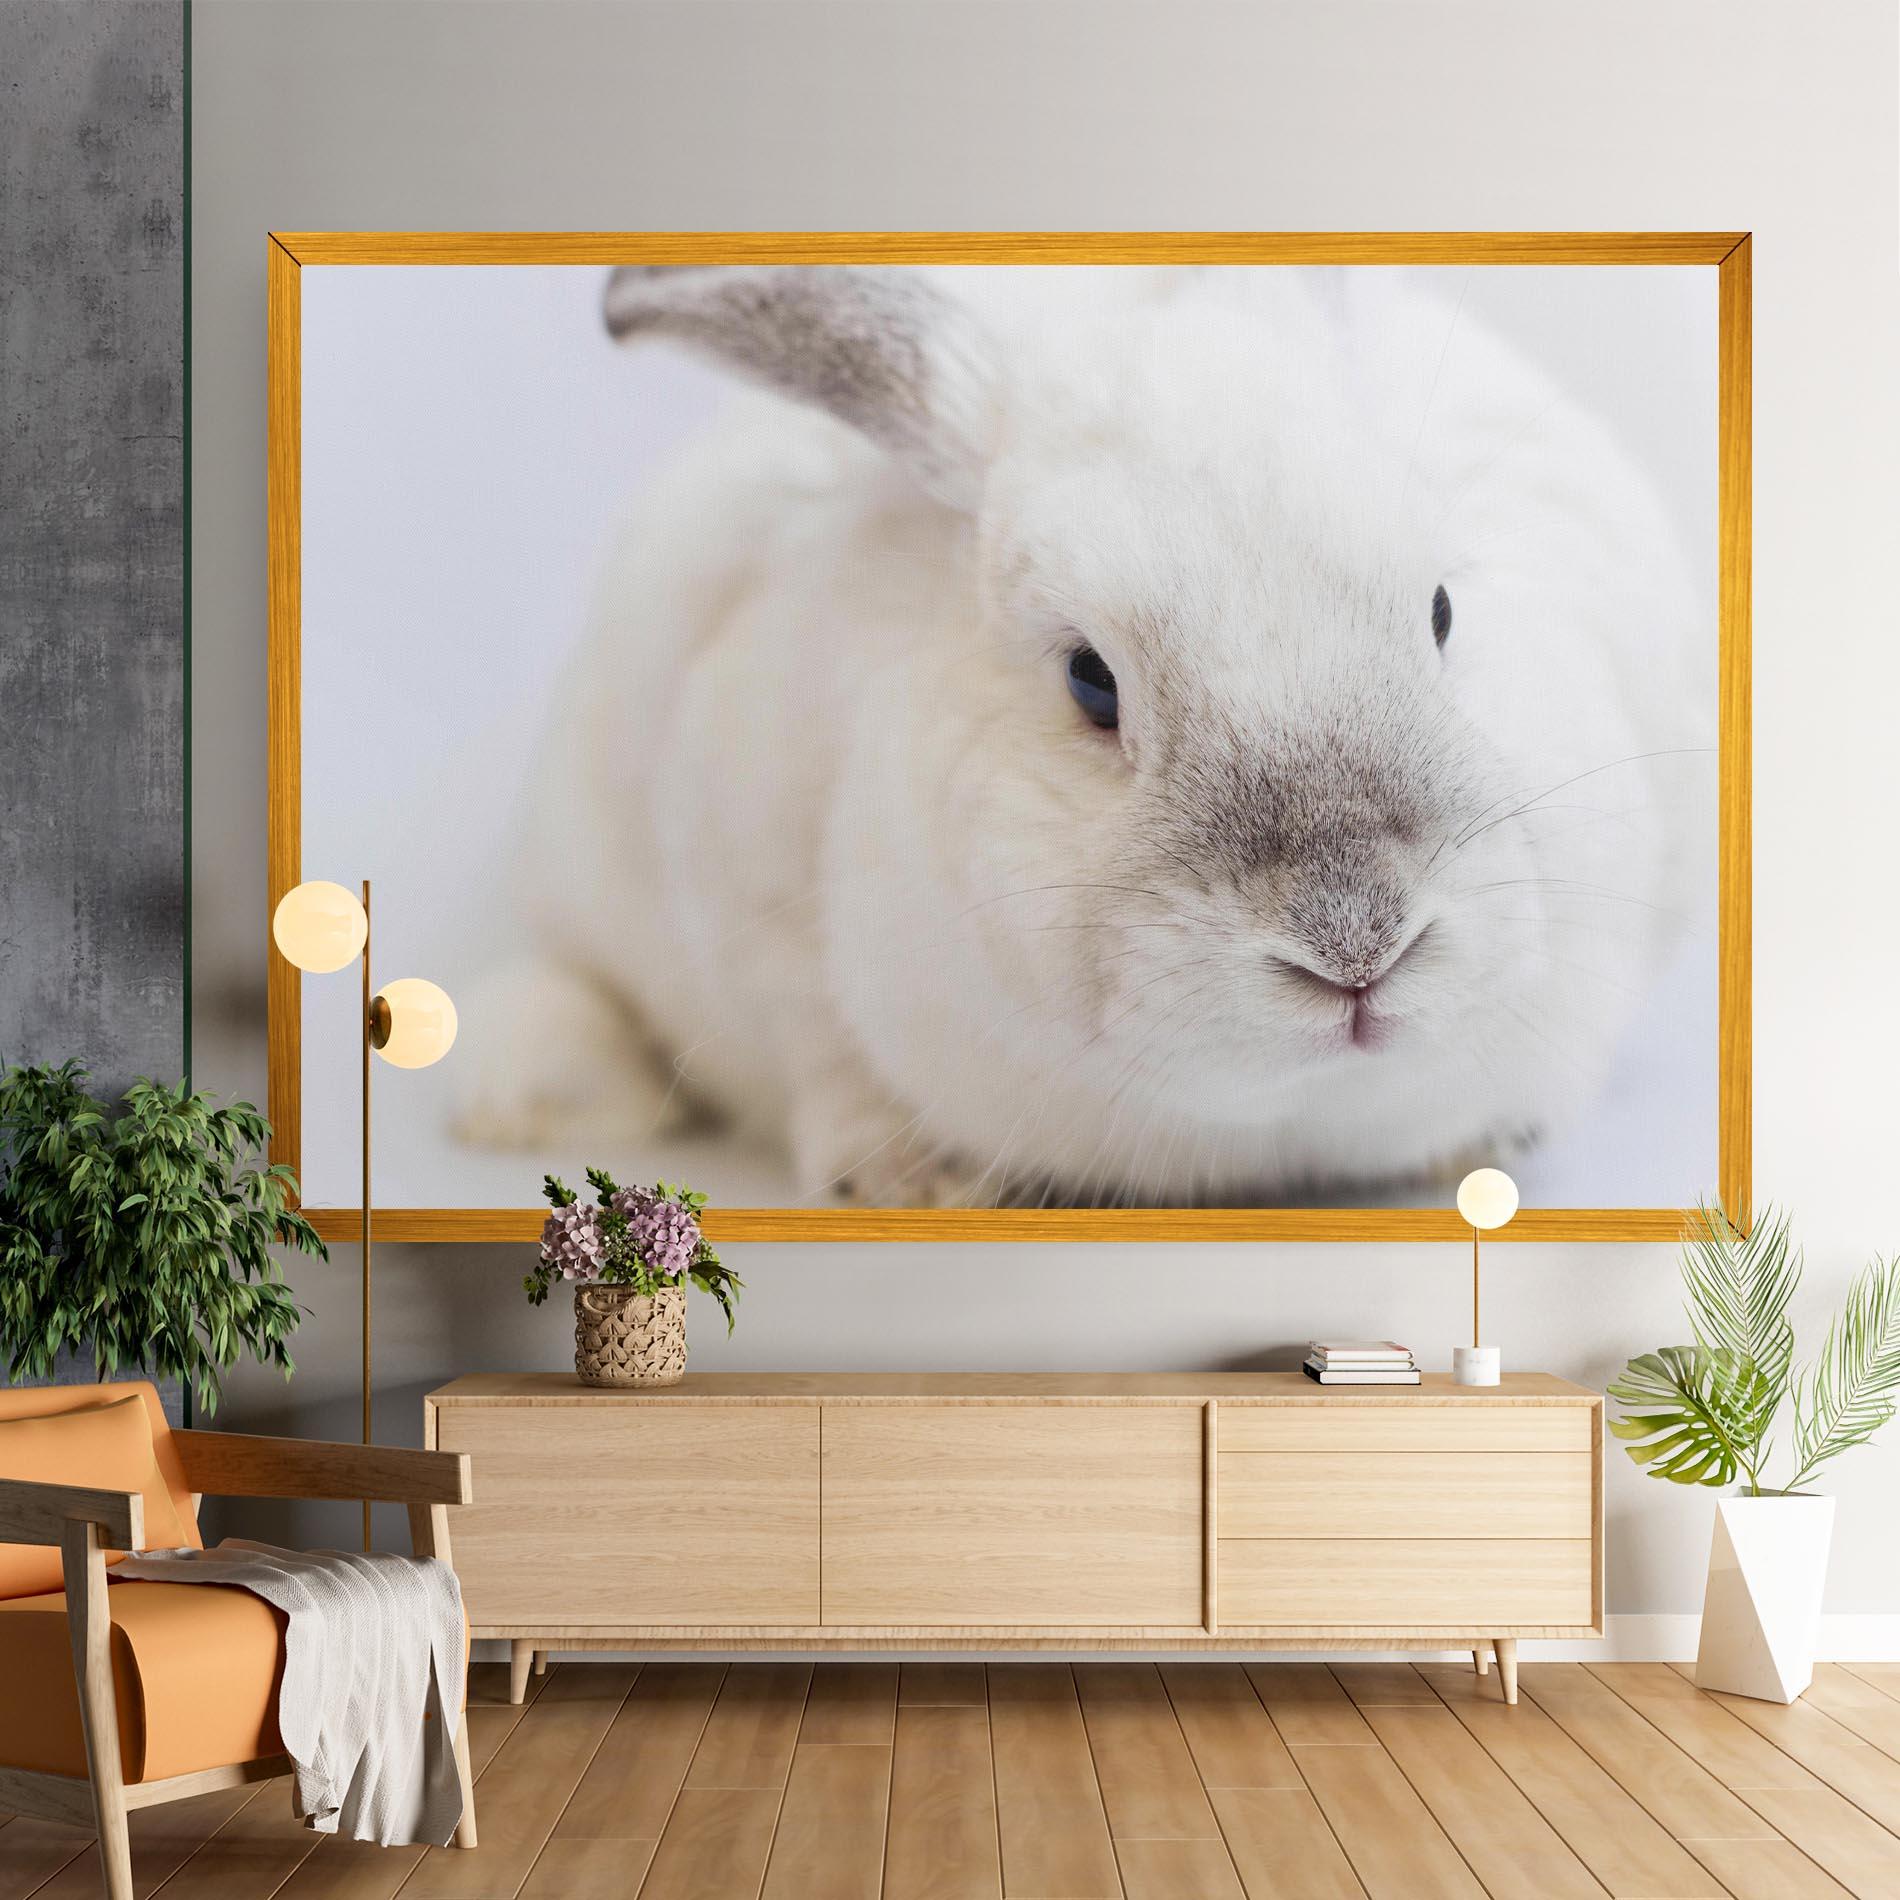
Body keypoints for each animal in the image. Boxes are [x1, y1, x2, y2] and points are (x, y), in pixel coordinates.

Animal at [453, 263, 1713, 1207]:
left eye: (1443, 609)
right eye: (1089, 682)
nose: (1356, 942)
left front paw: (1481, 1145)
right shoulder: (751, 908)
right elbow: (824, 1059)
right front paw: (913, 1179)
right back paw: (519, 1103)